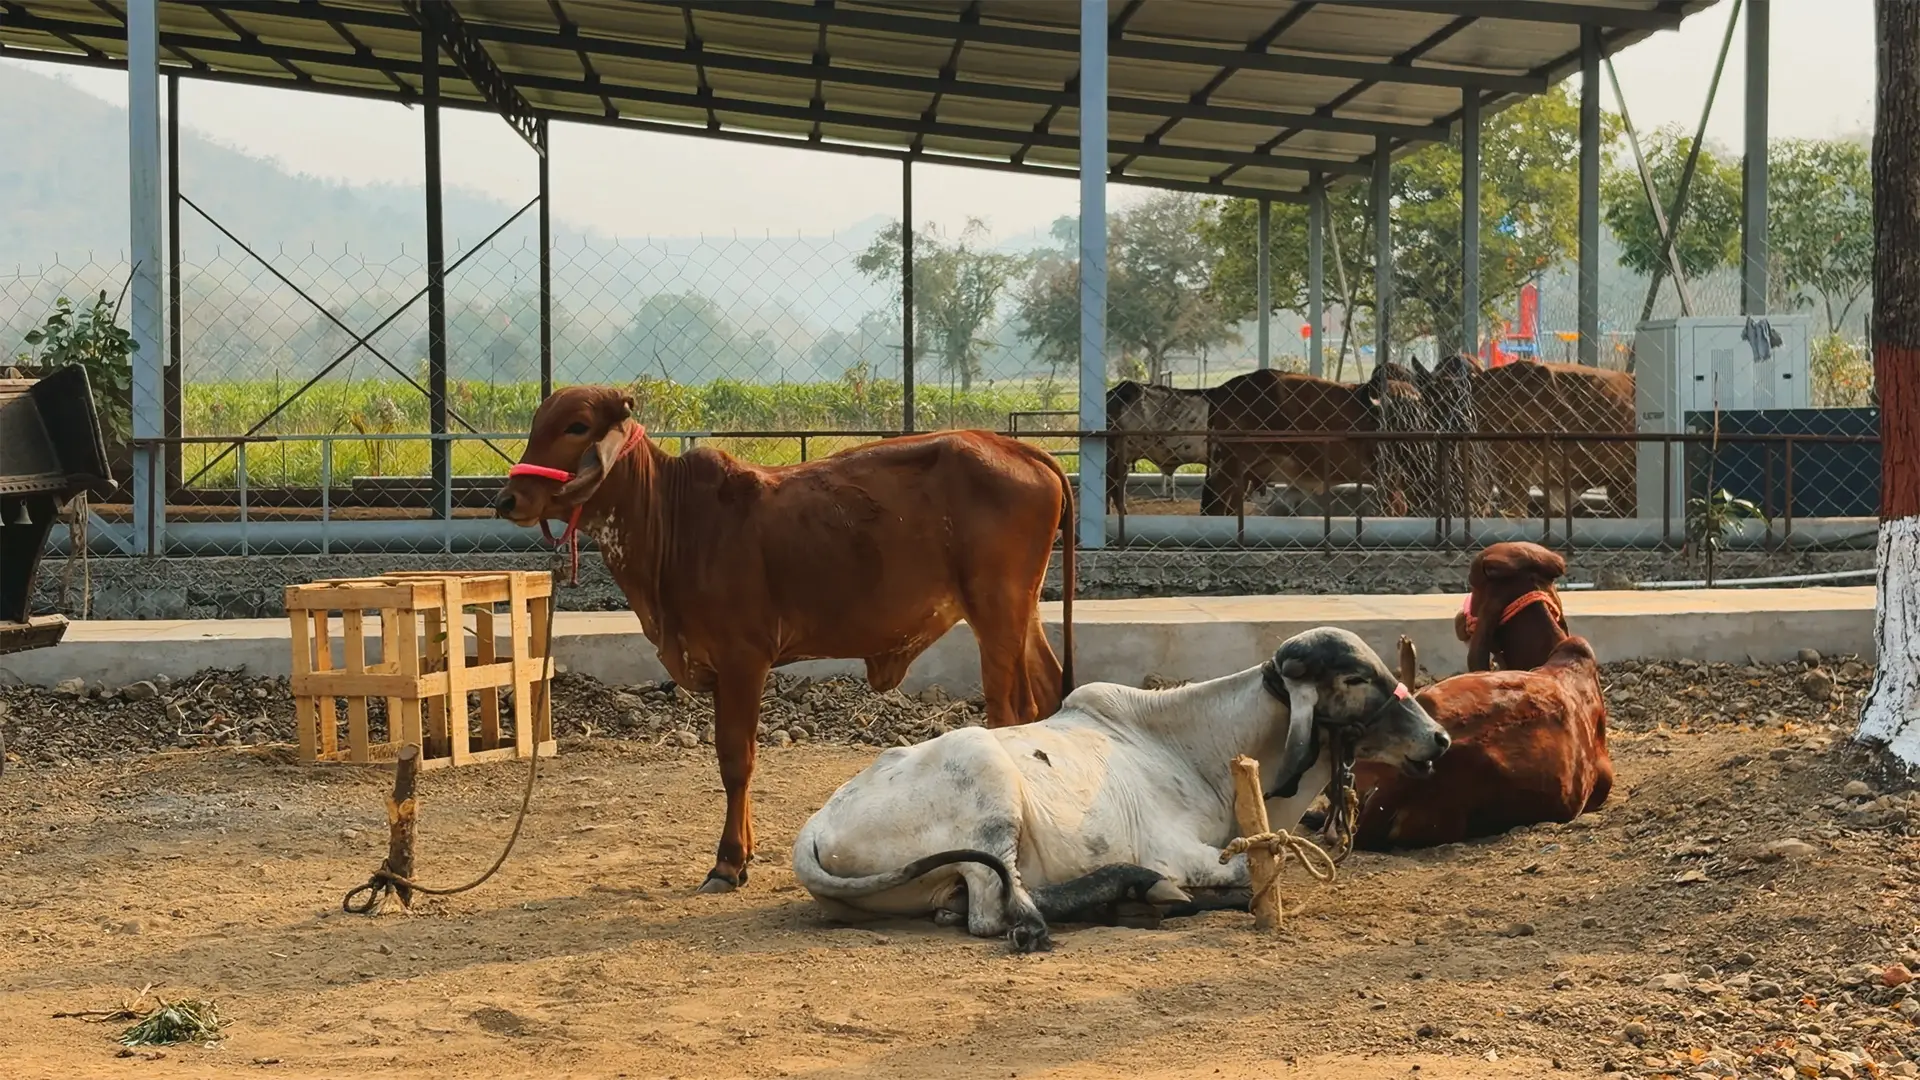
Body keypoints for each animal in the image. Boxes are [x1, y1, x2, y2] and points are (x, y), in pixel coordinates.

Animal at [496, 385, 1077, 893]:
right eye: (536, 423)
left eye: (576, 426)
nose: (507, 498)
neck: (673, 521)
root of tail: (1020, 449)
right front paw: (744, 854)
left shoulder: (743, 660)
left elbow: (736, 759)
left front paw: (728, 862)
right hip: (1022, 612)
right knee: (1048, 696)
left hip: (996, 611)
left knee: (1009, 713)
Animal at [790, 627, 1451, 951]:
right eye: (1355, 677)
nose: (1440, 738)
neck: (1194, 745)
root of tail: (814, 830)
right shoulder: (1180, 850)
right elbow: (1251, 874)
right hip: (986, 785)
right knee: (997, 911)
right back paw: (1128, 891)